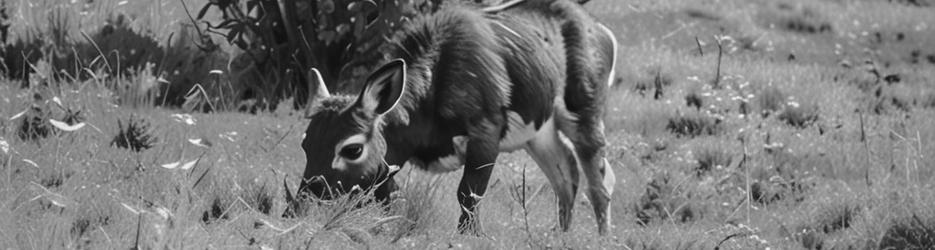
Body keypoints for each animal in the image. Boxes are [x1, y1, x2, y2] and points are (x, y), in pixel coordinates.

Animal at [302, 0, 620, 234]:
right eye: (305, 143)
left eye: (352, 148)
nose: (306, 198)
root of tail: (602, 30)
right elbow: (387, 193)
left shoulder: (486, 131)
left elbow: (469, 194)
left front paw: (468, 235)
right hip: (539, 133)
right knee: (567, 175)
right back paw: (561, 235)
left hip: (585, 113)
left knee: (600, 181)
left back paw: (603, 237)